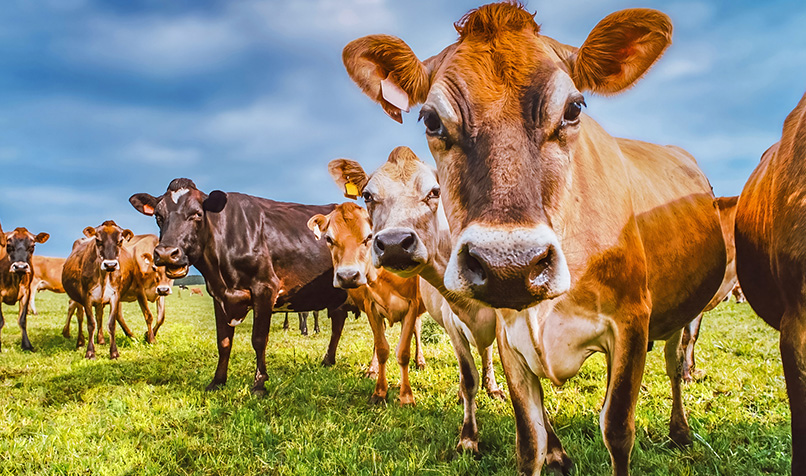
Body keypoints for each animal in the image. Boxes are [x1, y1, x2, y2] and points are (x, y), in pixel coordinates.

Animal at [62, 220, 137, 359]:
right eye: (97, 240)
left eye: (120, 241)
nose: (110, 265)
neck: (103, 276)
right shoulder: (86, 296)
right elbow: (91, 324)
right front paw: (90, 352)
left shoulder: (115, 296)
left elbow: (111, 324)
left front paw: (114, 352)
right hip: (77, 299)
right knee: (79, 315)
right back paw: (80, 342)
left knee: (99, 315)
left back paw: (101, 339)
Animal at [129, 178, 350, 394]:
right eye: (158, 216)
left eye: (197, 214)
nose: (166, 253)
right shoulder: (219, 295)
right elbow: (223, 342)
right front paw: (217, 381)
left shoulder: (265, 288)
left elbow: (259, 339)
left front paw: (259, 384)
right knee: (338, 322)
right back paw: (328, 360)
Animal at [308, 202, 427, 405]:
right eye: (329, 239)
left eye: (369, 236)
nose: (348, 276)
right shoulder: (371, 306)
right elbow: (382, 348)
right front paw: (379, 393)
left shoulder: (412, 305)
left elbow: (403, 352)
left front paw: (406, 397)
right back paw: (372, 370)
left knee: (417, 330)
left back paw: (420, 362)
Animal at [329, 148, 510, 454]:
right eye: (367, 195)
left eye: (435, 191)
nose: (393, 243)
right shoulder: (442, 318)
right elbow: (386, 348)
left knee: (484, 352)